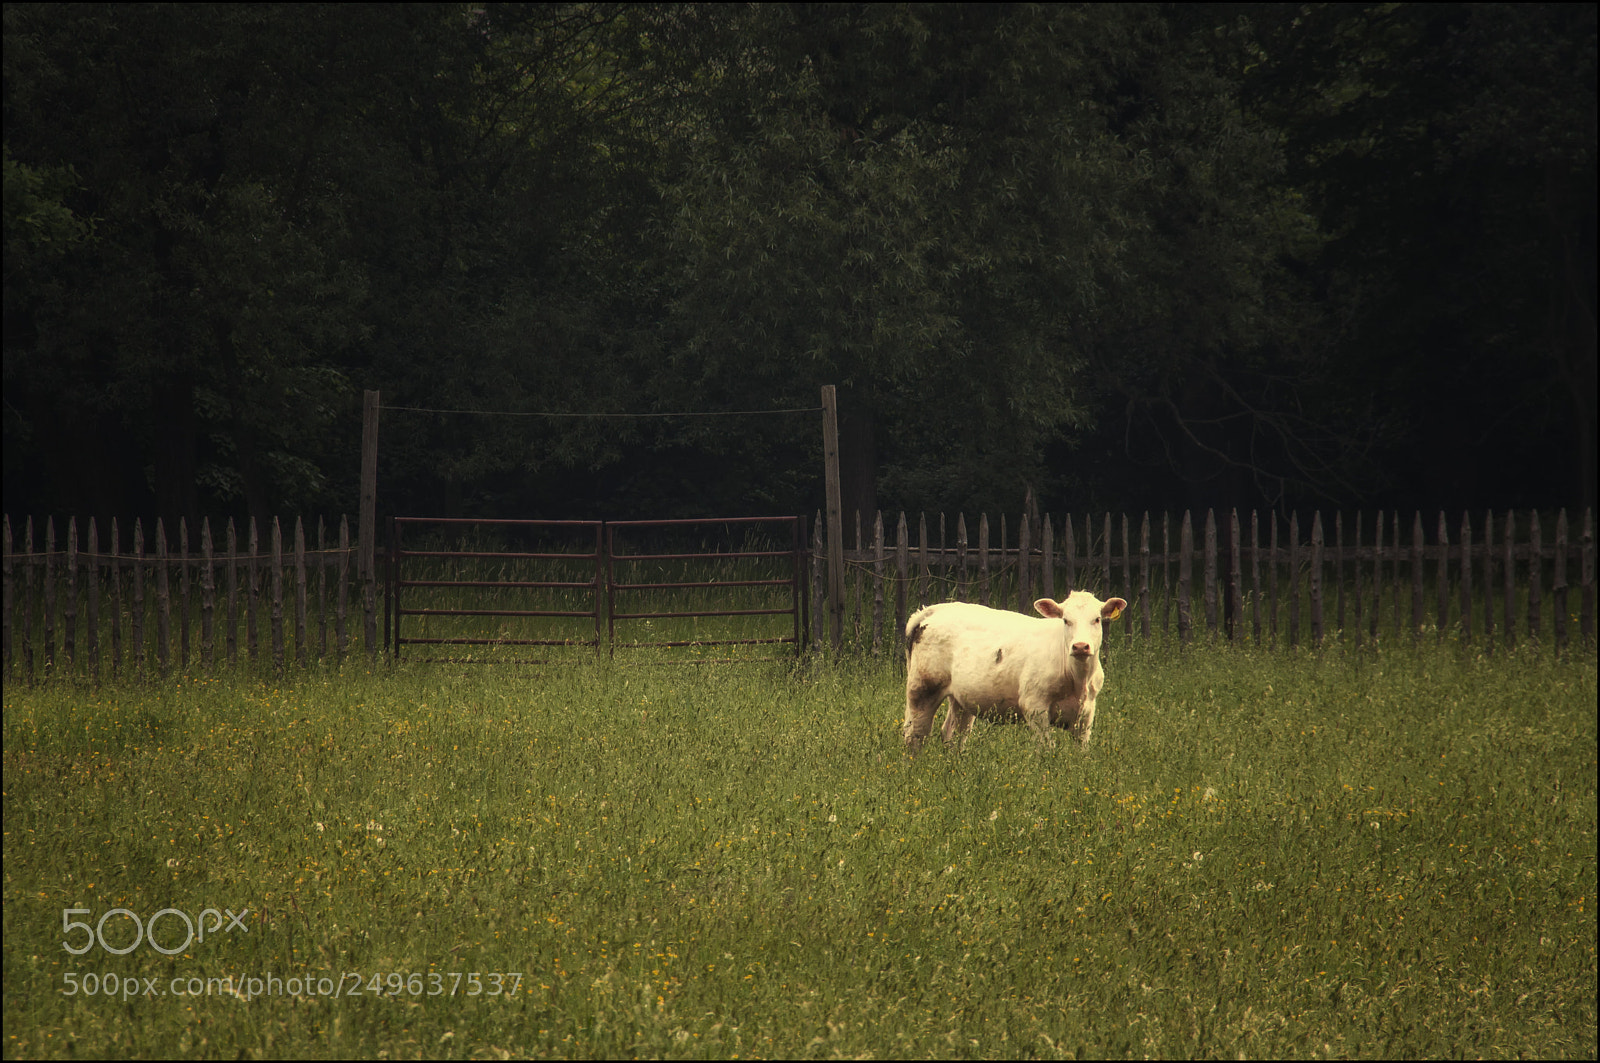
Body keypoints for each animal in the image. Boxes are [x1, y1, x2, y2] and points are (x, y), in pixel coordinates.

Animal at [902, 591, 1128, 753]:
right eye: (1065, 620)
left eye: (1097, 619)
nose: (1081, 646)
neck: (1077, 680)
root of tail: (936, 609)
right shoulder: (1035, 706)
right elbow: (1046, 749)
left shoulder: (1087, 713)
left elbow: (1081, 750)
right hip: (922, 688)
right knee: (915, 734)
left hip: (962, 698)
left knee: (954, 734)